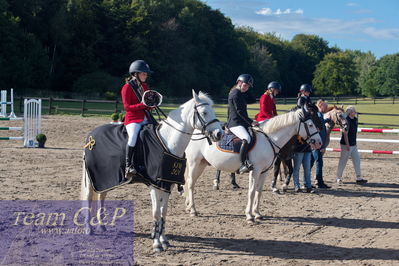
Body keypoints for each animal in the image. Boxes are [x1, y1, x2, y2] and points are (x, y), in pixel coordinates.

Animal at [81, 90, 223, 252]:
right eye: (204, 112)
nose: (219, 133)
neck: (168, 143)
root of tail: (91, 136)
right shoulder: (154, 186)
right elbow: (156, 212)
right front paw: (156, 243)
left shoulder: (167, 184)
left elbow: (163, 212)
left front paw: (163, 240)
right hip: (92, 178)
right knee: (88, 197)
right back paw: (88, 229)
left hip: (107, 178)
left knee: (101, 196)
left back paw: (102, 226)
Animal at [184, 108, 322, 222]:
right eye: (310, 124)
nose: (319, 142)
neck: (269, 139)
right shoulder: (255, 170)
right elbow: (251, 191)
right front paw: (249, 216)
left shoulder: (264, 171)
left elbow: (258, 191)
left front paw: (257, 214)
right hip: (194, 163)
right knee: (190, 184)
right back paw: (193, 210)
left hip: (201, 164)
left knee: (191, 182)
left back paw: (189, 207)